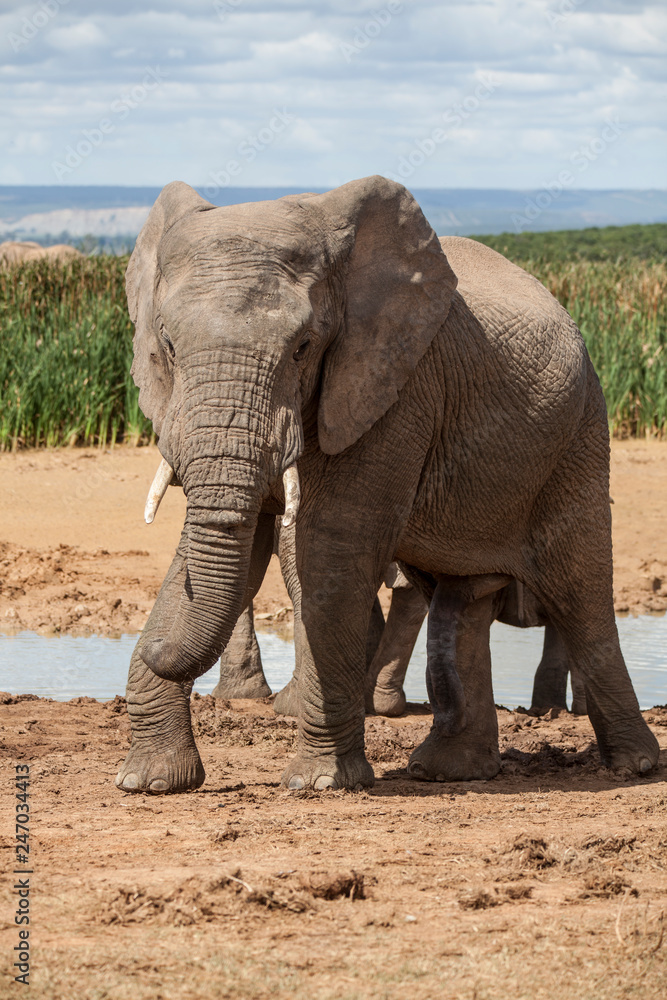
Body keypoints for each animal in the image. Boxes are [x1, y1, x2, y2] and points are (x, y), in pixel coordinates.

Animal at [115, 175, 658, 795]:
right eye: (167, 347)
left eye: (303, 348)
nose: (151, 645)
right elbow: (228, 548)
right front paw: (151, 781)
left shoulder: (393, 386)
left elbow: (329, 548)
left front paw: (319, 784)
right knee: (462, 602)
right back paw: (448, 771)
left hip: (580, 433)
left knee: (579, 591)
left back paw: (635, 765)